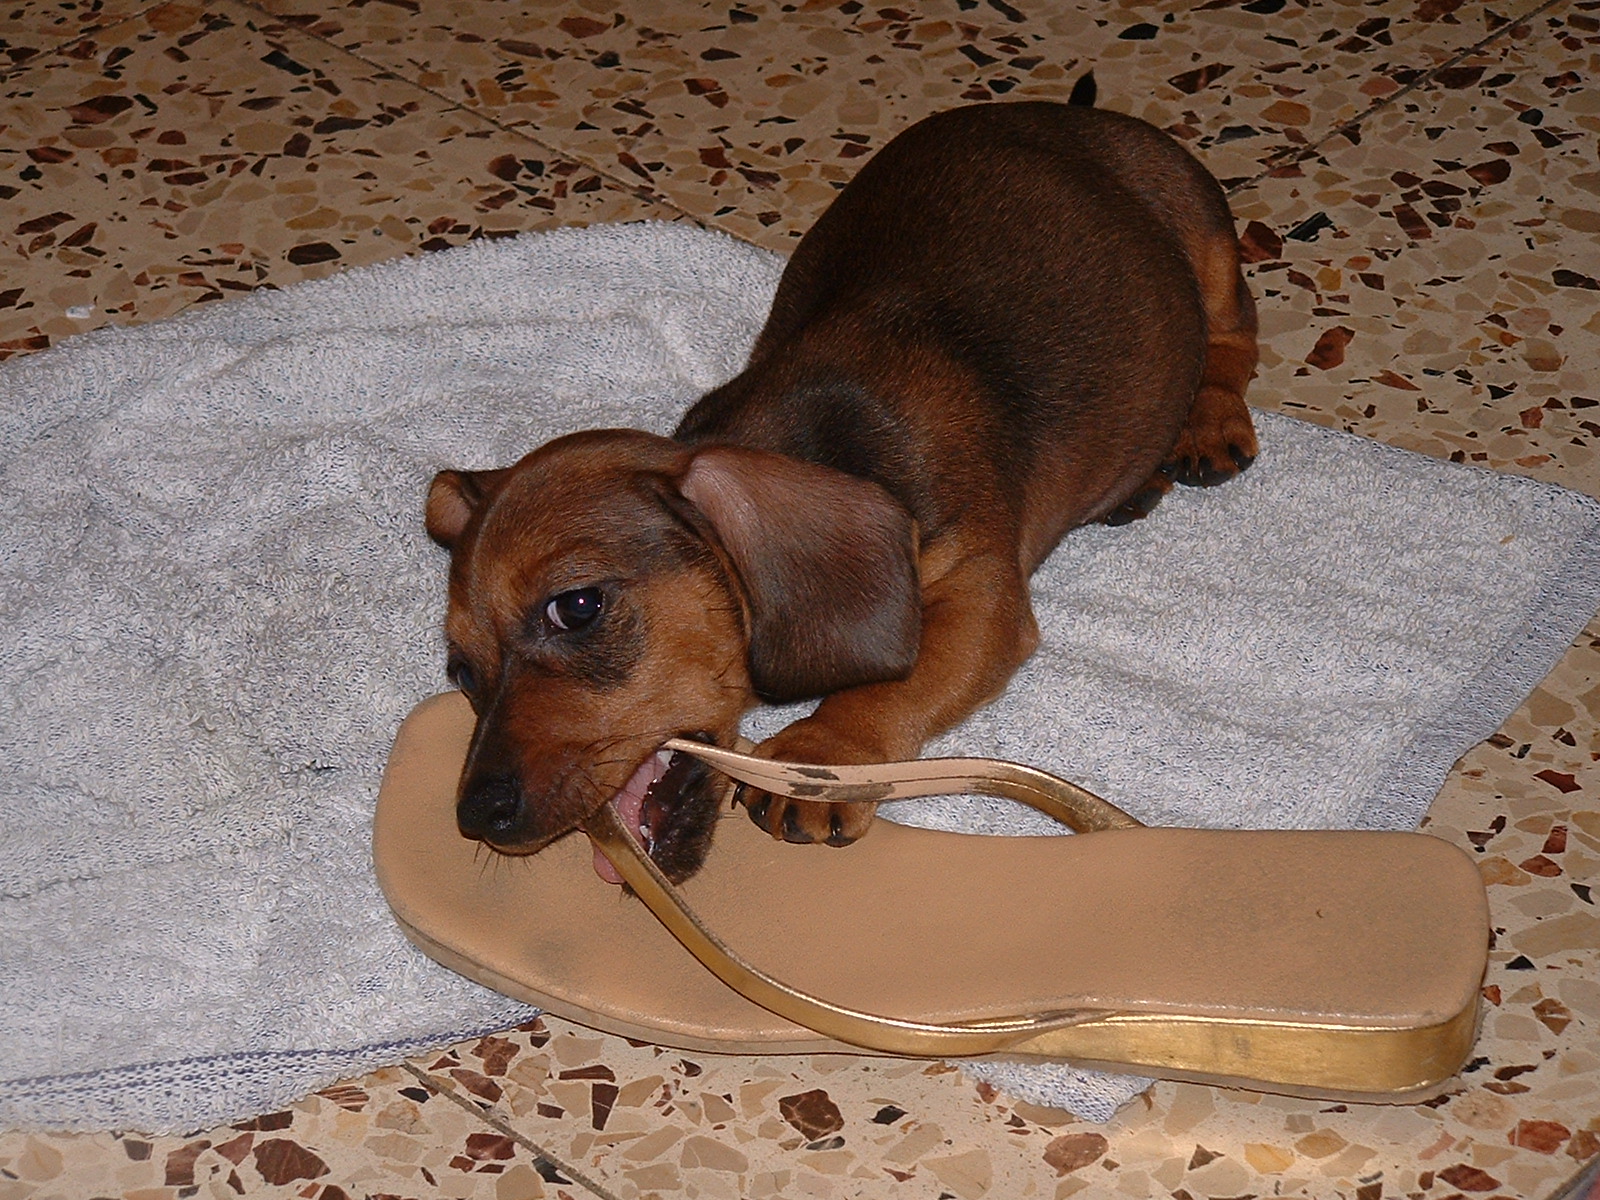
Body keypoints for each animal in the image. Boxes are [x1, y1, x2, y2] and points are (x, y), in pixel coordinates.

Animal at [425, 96, 1260, 883]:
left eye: (577, 607)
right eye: (460, 672)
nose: (476, 816)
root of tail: (1070, 112)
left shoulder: (982, 594)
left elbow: (893, 683)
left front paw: (823, 753)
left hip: (1207, 238)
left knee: (1230, 339)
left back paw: (1206, 423)